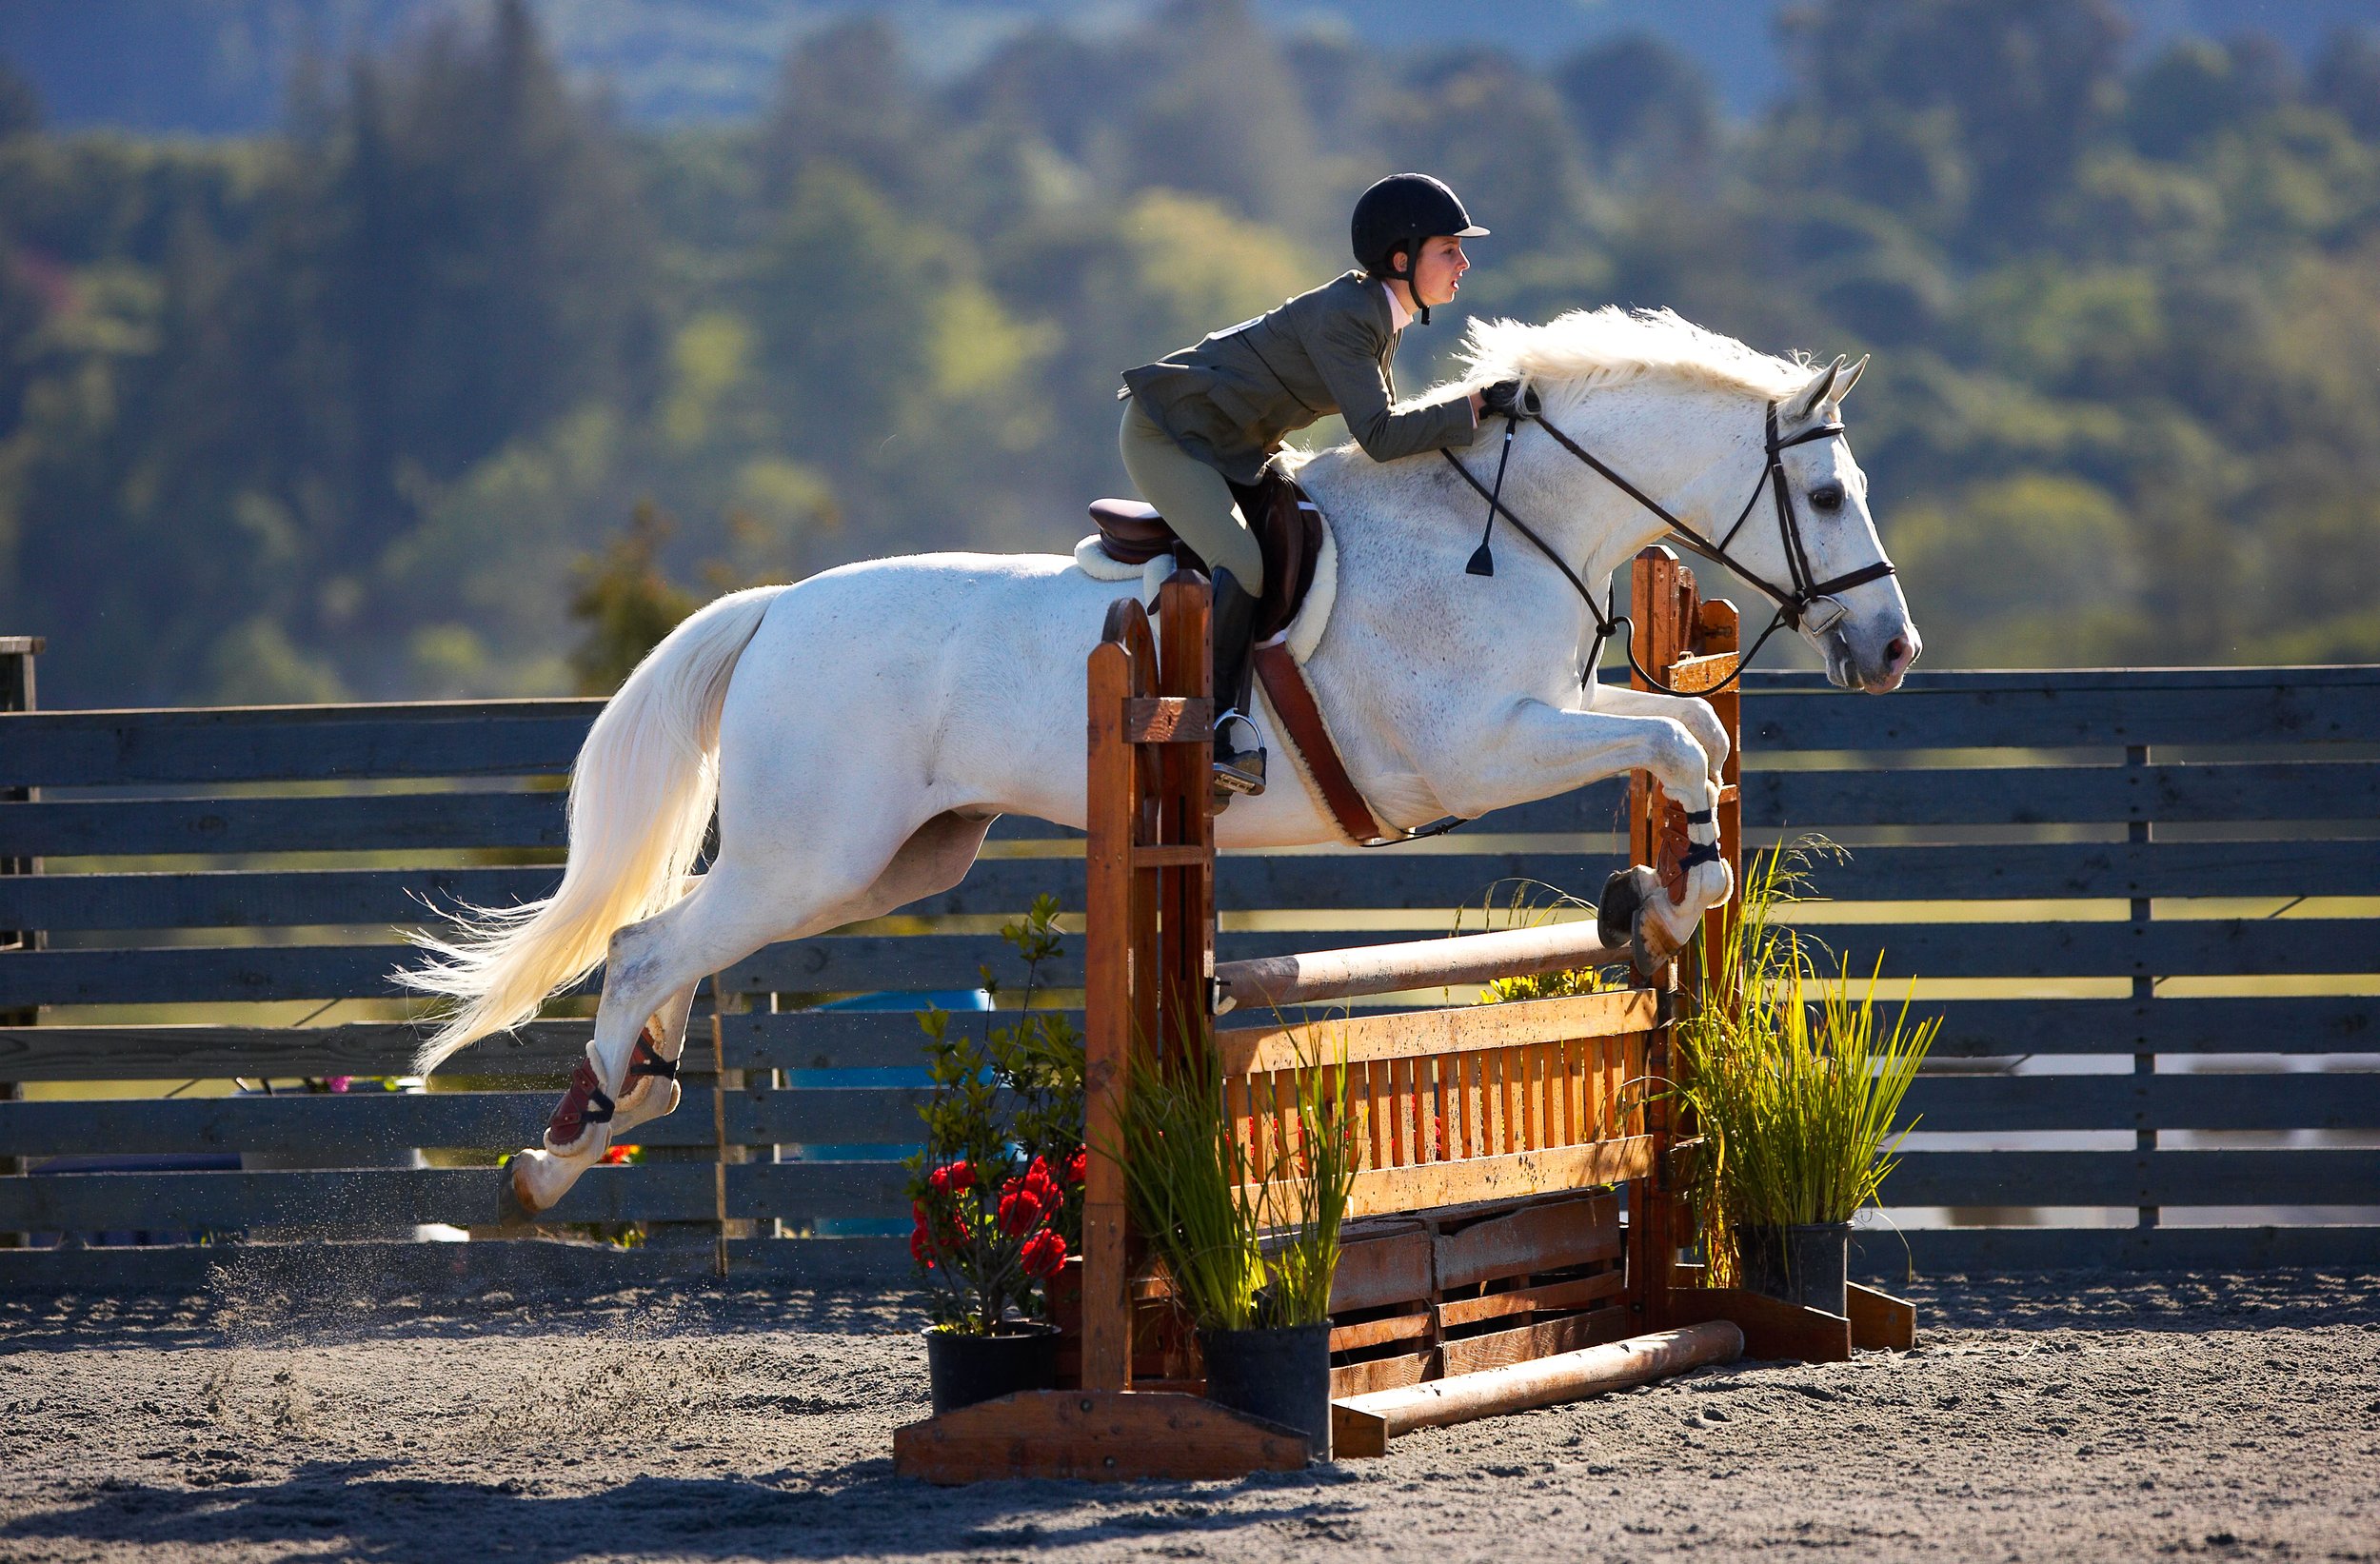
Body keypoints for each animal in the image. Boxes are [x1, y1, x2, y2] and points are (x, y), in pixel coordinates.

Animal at [401, 306, 1921, 1215]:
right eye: (1827, 492)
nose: (1893, 648)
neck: (1499, 523)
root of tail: (777, 609)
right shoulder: (1479, 747)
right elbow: (1673, 733)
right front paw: (1663, 894)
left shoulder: (1549, 709)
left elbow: (1697, 733)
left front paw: (1663, 895)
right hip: (818, 850)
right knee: (651, 943)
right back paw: (564, 1144)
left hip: (885, 860)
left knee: (679, 937)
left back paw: (616, 1103)